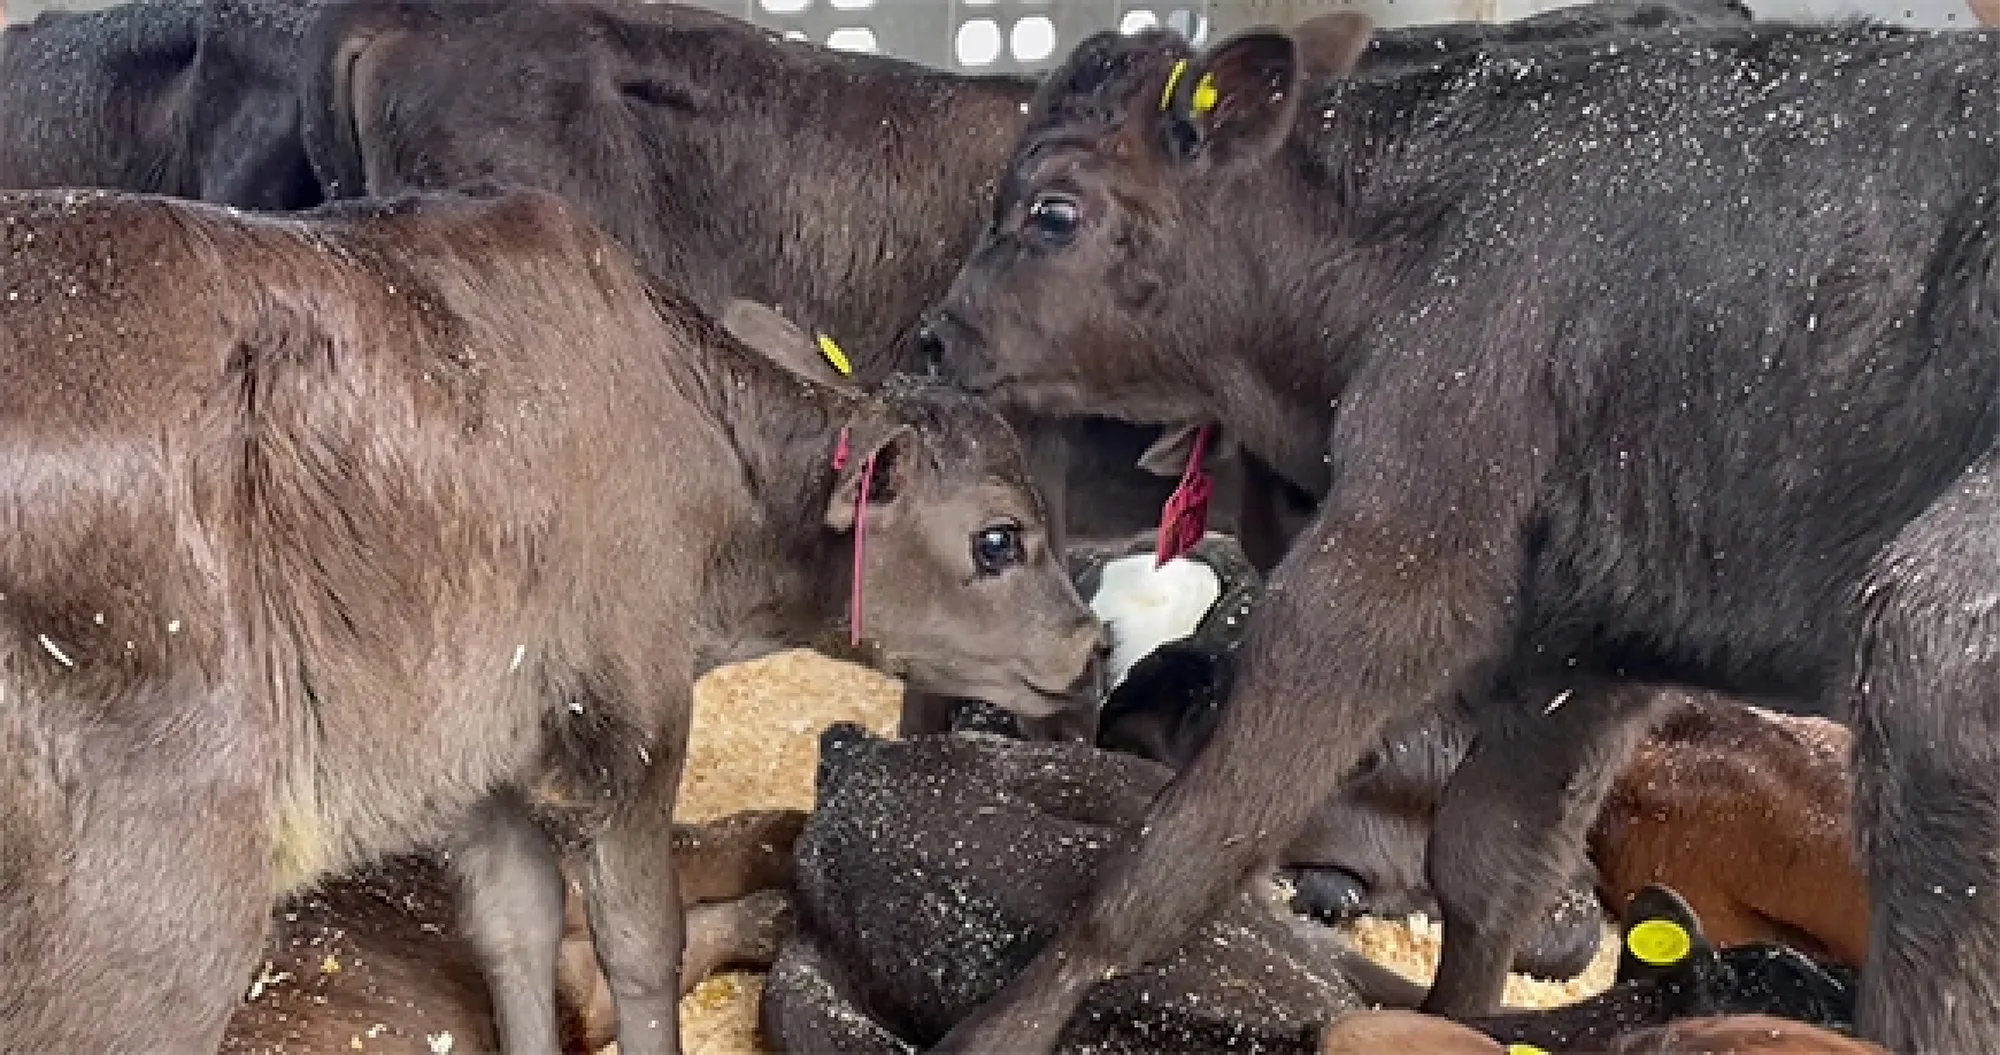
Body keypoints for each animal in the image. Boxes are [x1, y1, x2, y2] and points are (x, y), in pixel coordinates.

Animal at [0, 184, 1102, 1054]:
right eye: (998, 539)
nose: (1090, 644)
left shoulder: (473, 741)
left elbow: (515, 925)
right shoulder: (634, 710)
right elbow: (641, 943)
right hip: (156, 913)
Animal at [918, 13, 2000, 1053]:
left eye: (1052, 211)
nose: (933, 334)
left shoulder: (1388, 567)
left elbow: (1175, 850)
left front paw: (996, 1029)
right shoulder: (1577, 654)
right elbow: (1488, 869)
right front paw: (1457, 1020)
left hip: (1933, 655)